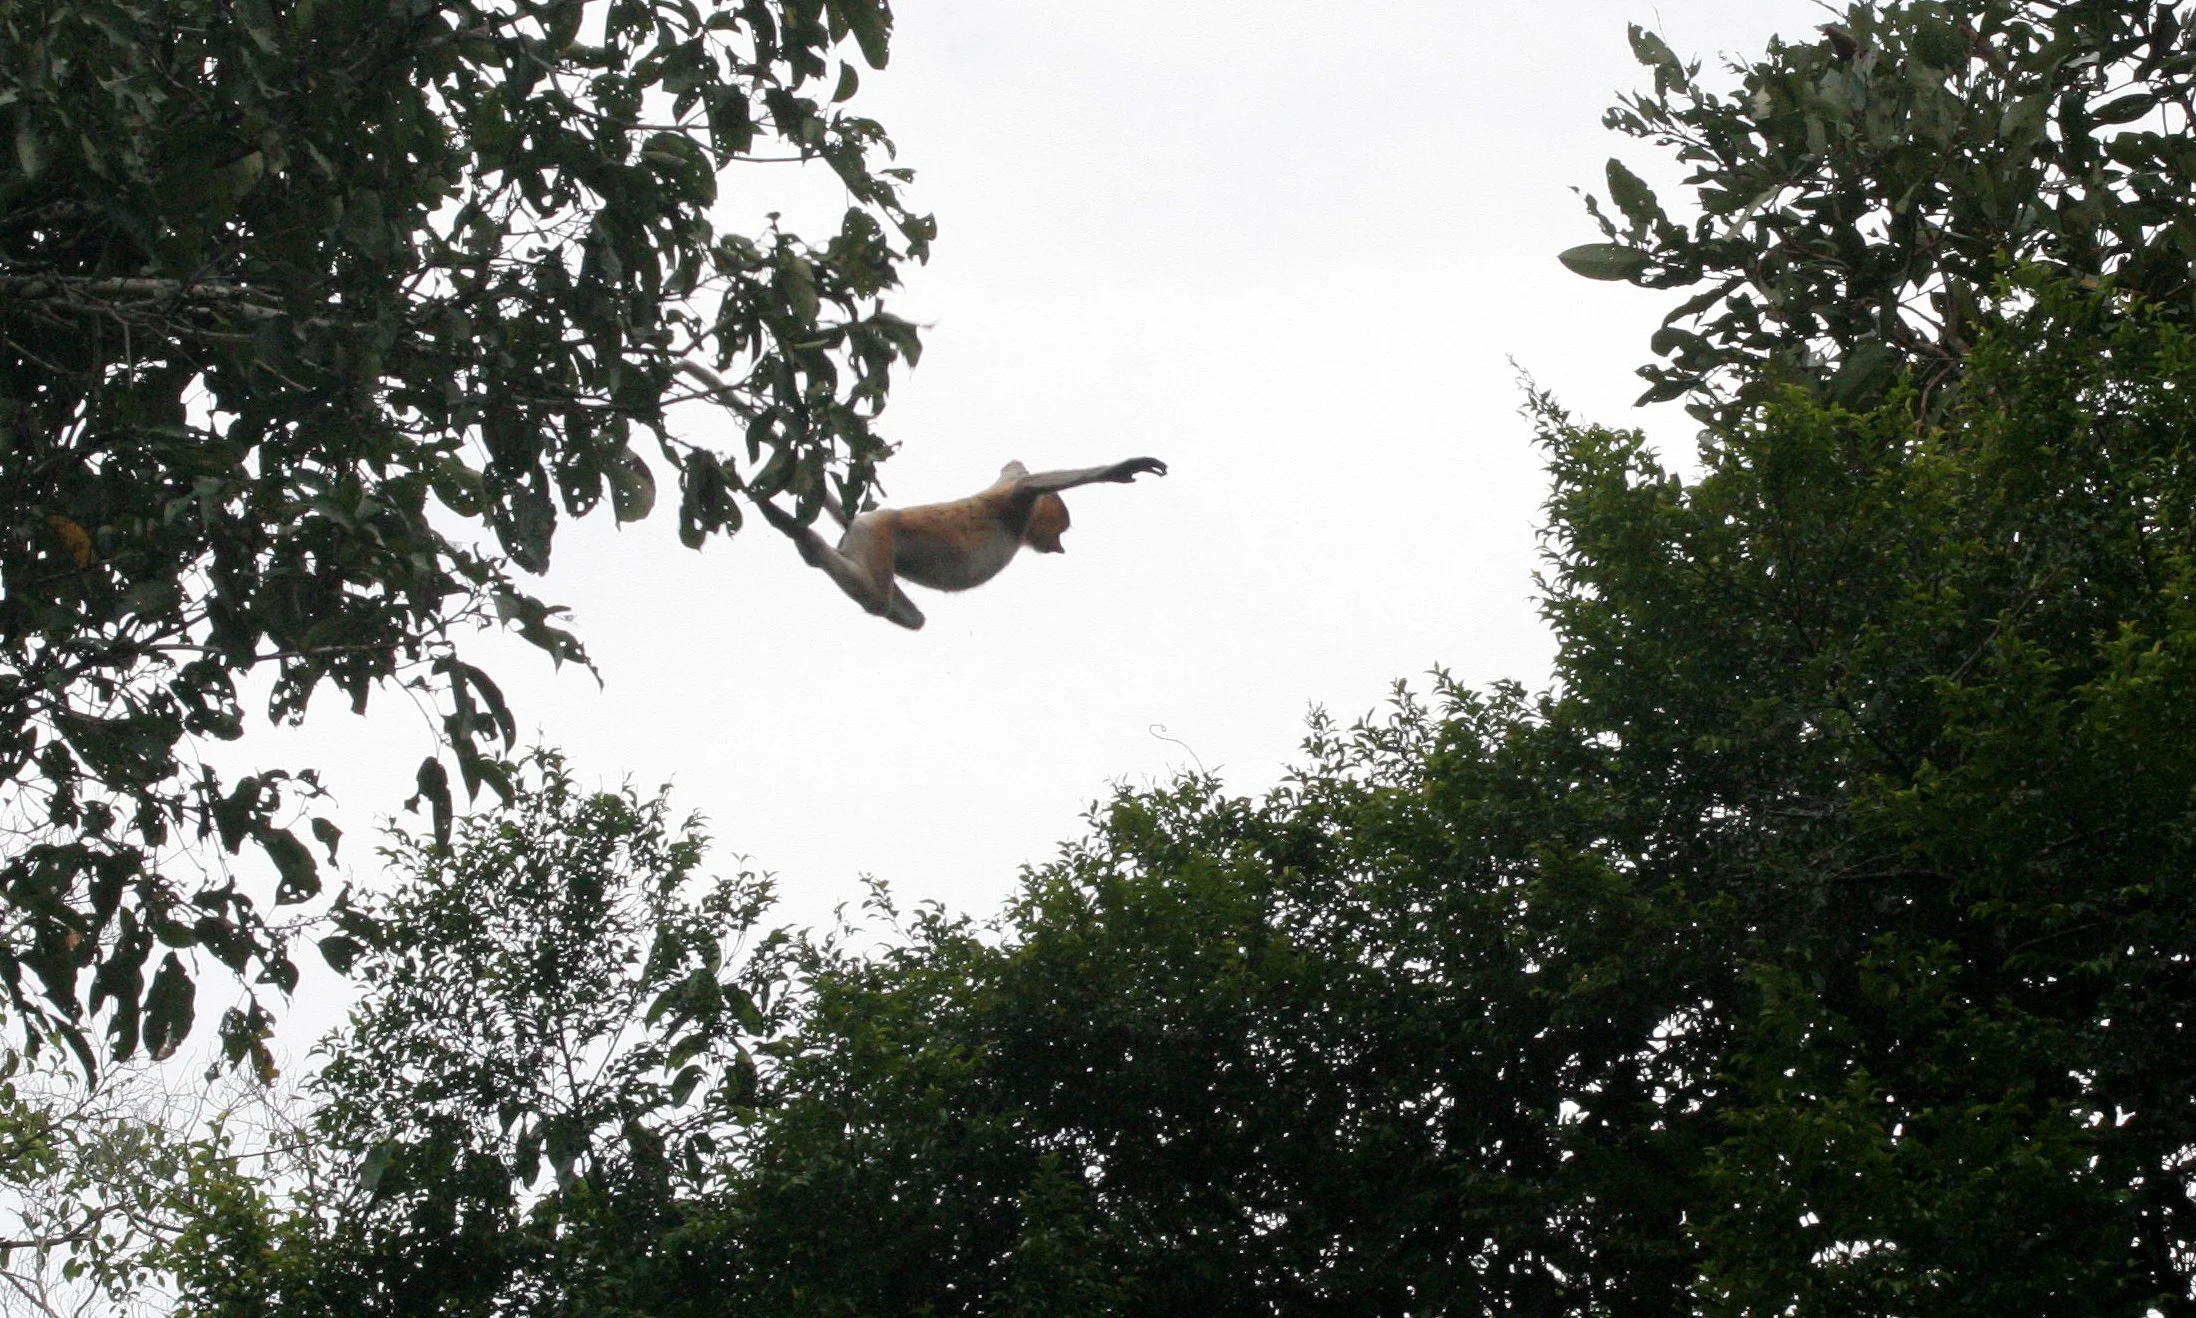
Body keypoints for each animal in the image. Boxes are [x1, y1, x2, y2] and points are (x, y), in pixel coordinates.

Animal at [755, 456, 1167, 629]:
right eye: (1061, 530)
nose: (1060, 547)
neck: (1022, 528)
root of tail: (864, 520)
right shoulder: (1014, 504)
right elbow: (1027, 483)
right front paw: (1125, 468)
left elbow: (1014, 468)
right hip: (878, 532)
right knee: (876, 599)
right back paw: (795, 531)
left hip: (865, 537)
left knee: (908, 616)